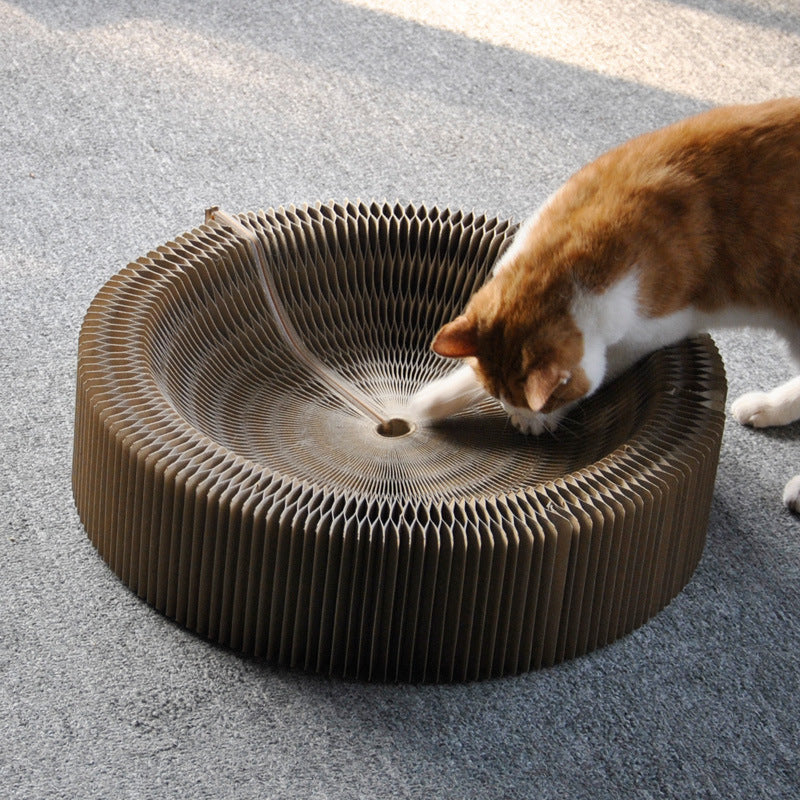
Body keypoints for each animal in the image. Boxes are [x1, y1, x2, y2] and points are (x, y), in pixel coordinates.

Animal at [410, 100, 800, 510]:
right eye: (497, 396)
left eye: (542, 403)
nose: (522, 421)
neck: (575, 249)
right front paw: (431, 401)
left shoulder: (651, 330)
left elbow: (601, 374)